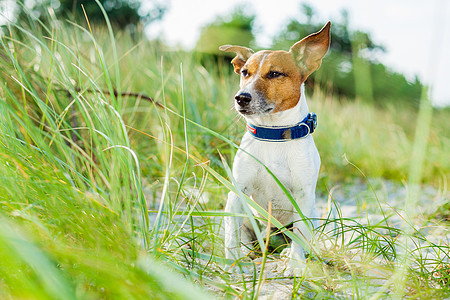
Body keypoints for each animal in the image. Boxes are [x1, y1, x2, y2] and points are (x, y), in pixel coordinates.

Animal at [221, 21, 330, 276]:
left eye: (274, 74)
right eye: (245, 73)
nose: (241, 97)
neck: (273, 135)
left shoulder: (303, 195)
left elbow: (299, 235)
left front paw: (295, 263)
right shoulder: (237, 190)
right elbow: (230, 233)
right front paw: (231, 261)